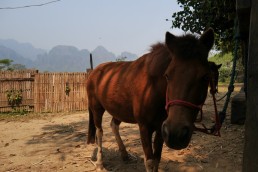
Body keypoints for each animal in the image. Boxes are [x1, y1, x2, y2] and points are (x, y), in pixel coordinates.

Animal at [86, 27, 214, 171]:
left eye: (206, 77)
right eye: (167, 75)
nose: (177, 134)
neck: (152, 87)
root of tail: (93, 72)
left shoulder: (161, 128)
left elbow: (157, 160)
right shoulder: (144, 127)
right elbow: (150, 162)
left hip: (118, 109)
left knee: (113, 125)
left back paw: (124, 154)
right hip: (96, 108)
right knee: (99, 132)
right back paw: (100, 163)